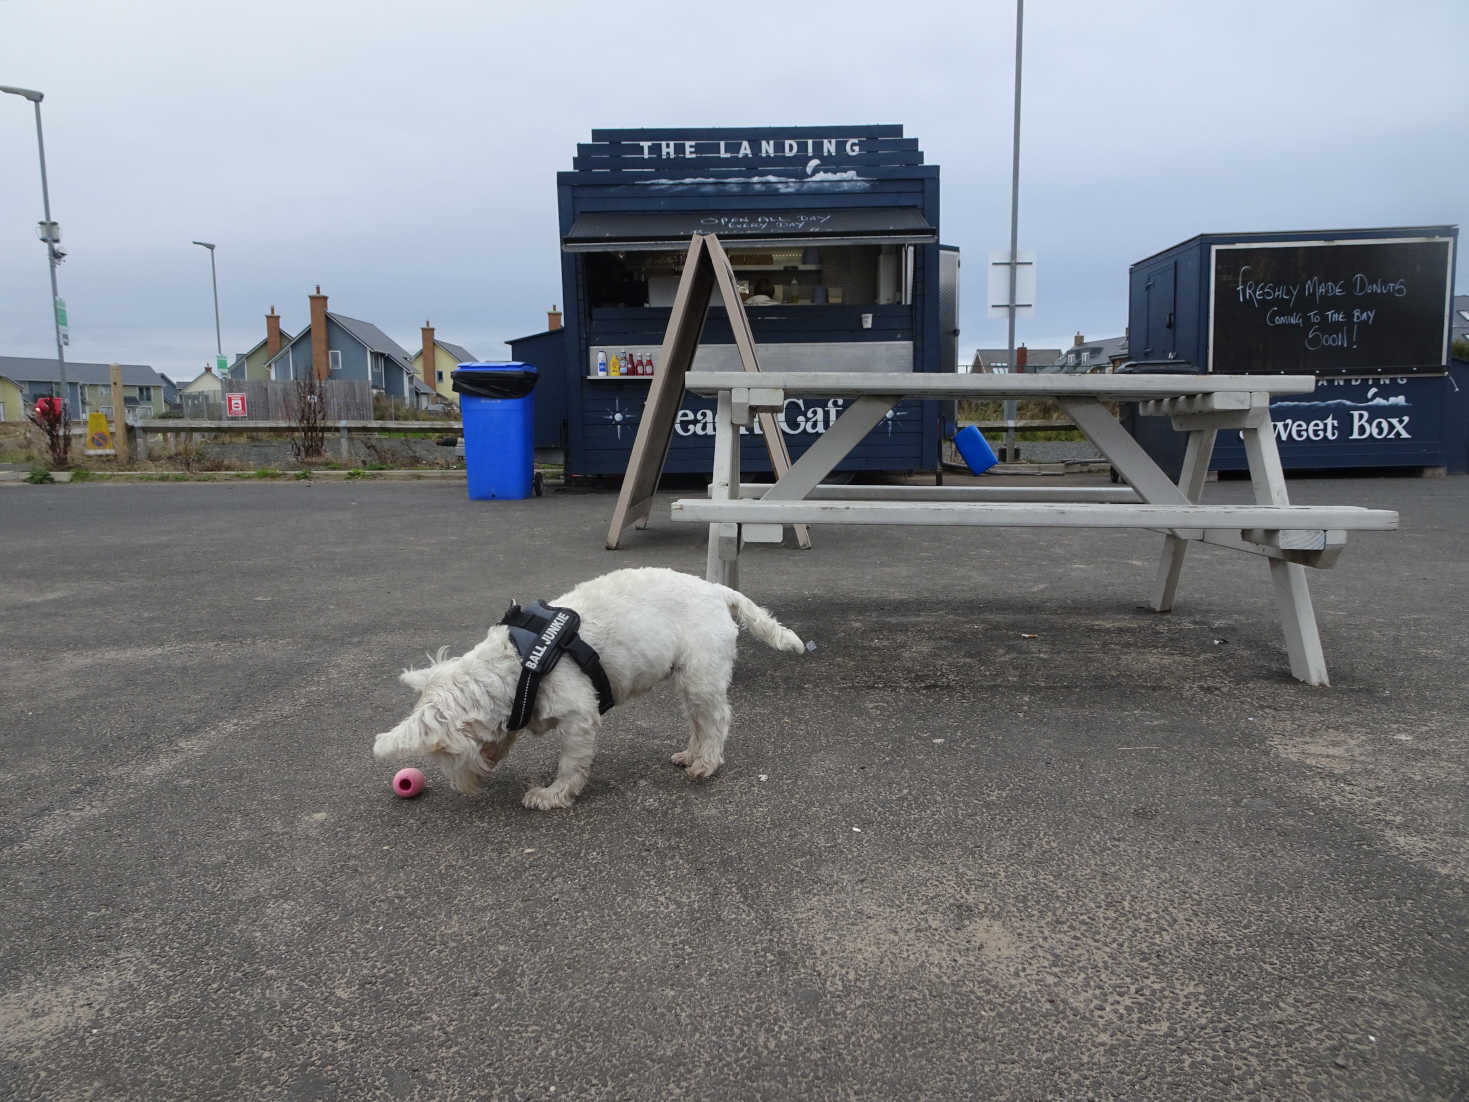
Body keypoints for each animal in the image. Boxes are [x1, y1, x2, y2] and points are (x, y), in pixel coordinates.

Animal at [367, 570, 805, 811]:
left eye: (442, 754)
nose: (463, 789)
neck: (518, 665)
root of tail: (718, 590)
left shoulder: (580, 717)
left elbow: (571, 764)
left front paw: (552, 795)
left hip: (701, 676)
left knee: (716, 720)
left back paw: (706, 763)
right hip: (687, 678)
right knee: (698, 721)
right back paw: (690, 754)